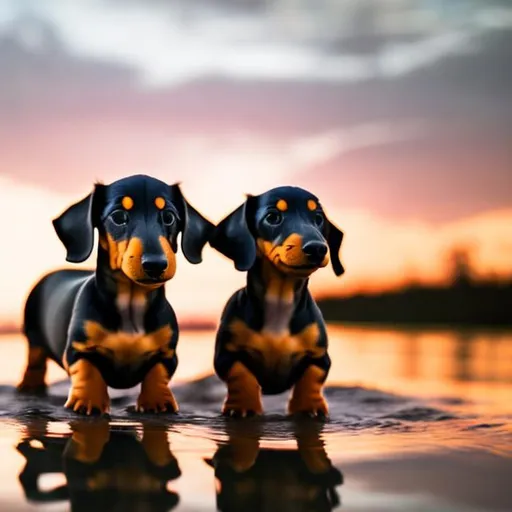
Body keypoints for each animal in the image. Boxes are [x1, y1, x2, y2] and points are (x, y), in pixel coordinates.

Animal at [16, 174, 212, 414]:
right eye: (118, 217)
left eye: (169, 217)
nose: (155, 264)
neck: (131, 302)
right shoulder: (77, 349)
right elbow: (87, 370)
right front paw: (89, 401)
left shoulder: (167, 354)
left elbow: (157, 373)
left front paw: (157, 402)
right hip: (32, 334)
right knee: (34, 360)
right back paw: (29, 385)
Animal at [208, 186, 344, 418]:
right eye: (272, 217)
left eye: (318, 218)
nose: (317, 248)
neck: (280, 299)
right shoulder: (226, 355)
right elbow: (241, 374)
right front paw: (242, 405)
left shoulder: (320, 357)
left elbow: (311, 377)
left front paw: (310, 406)